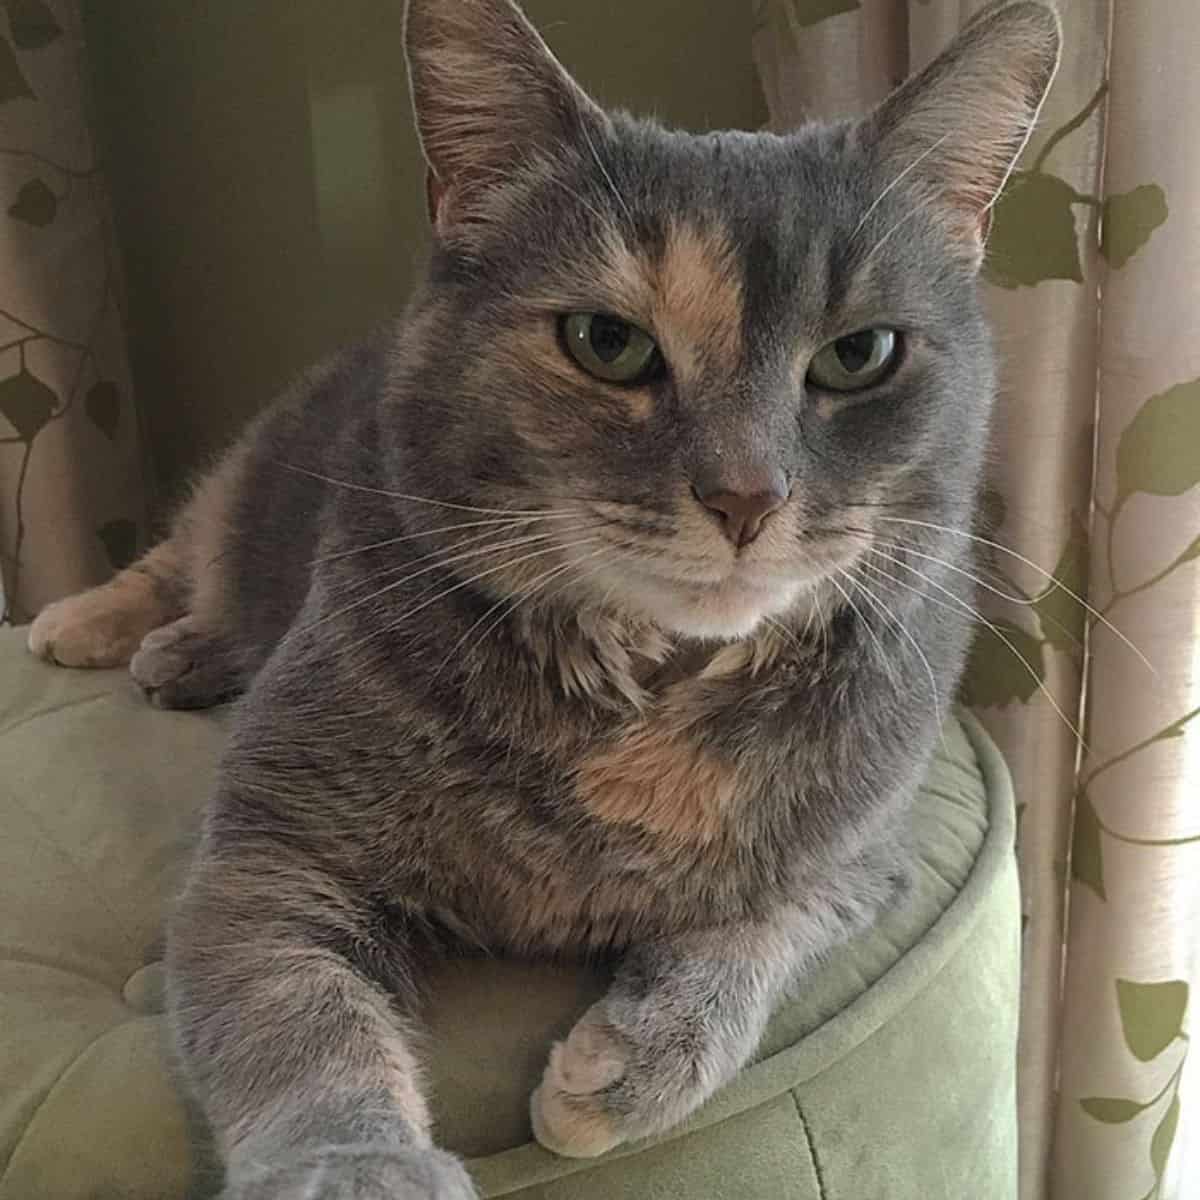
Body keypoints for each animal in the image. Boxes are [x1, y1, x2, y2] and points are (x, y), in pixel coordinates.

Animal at [28, 2, 1060, 1200]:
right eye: (607, 343)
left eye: (860, 354)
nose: (746, 495)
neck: (648, 690)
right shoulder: (267, 856)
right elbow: (302, 1024)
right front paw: (365, 1168)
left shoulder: (869, 859)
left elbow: (756, 930)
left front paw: (622, 1072)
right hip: (243, 490)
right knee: (180, 556)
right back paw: (111, 631)